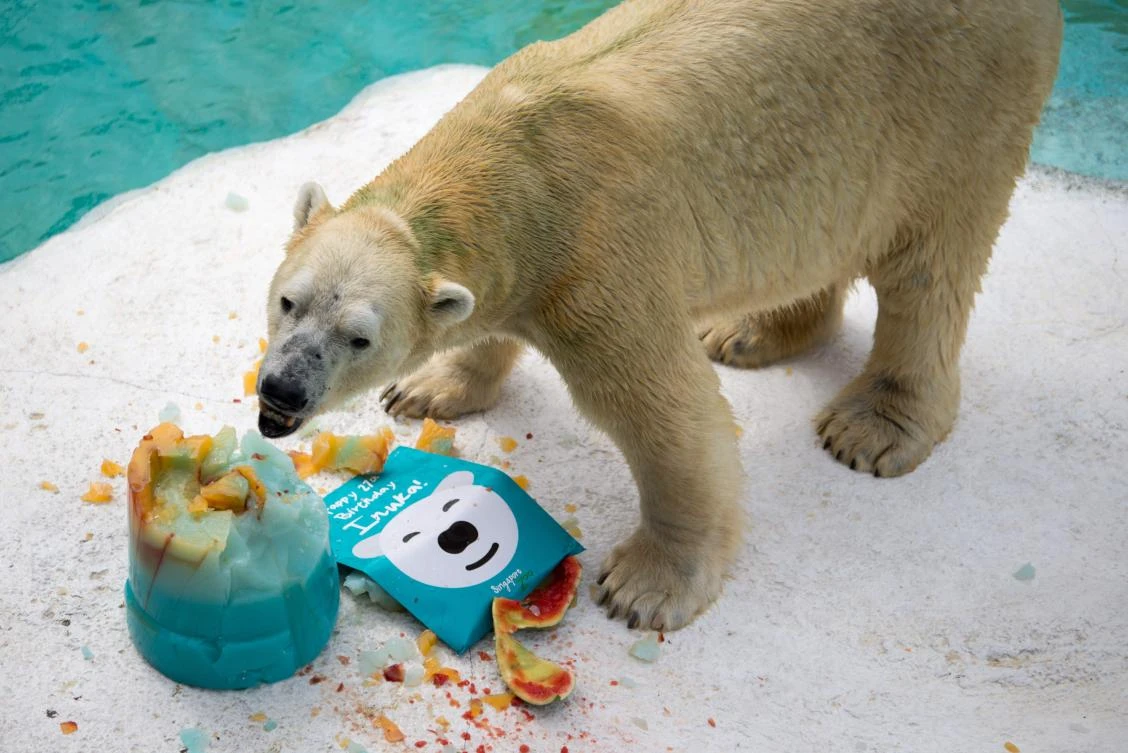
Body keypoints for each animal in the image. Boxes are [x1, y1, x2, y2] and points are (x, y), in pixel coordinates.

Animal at [258, 0, 1063, 631]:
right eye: (287, 300)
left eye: (359, 337)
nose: (280, 391)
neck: (516, 158)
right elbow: (482, 324)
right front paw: (430, 387)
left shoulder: (599, 256)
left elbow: (663, 411)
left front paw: (646, 585)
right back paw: (747, 331)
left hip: (960, 102)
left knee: (931, 265)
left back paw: (872, 425)